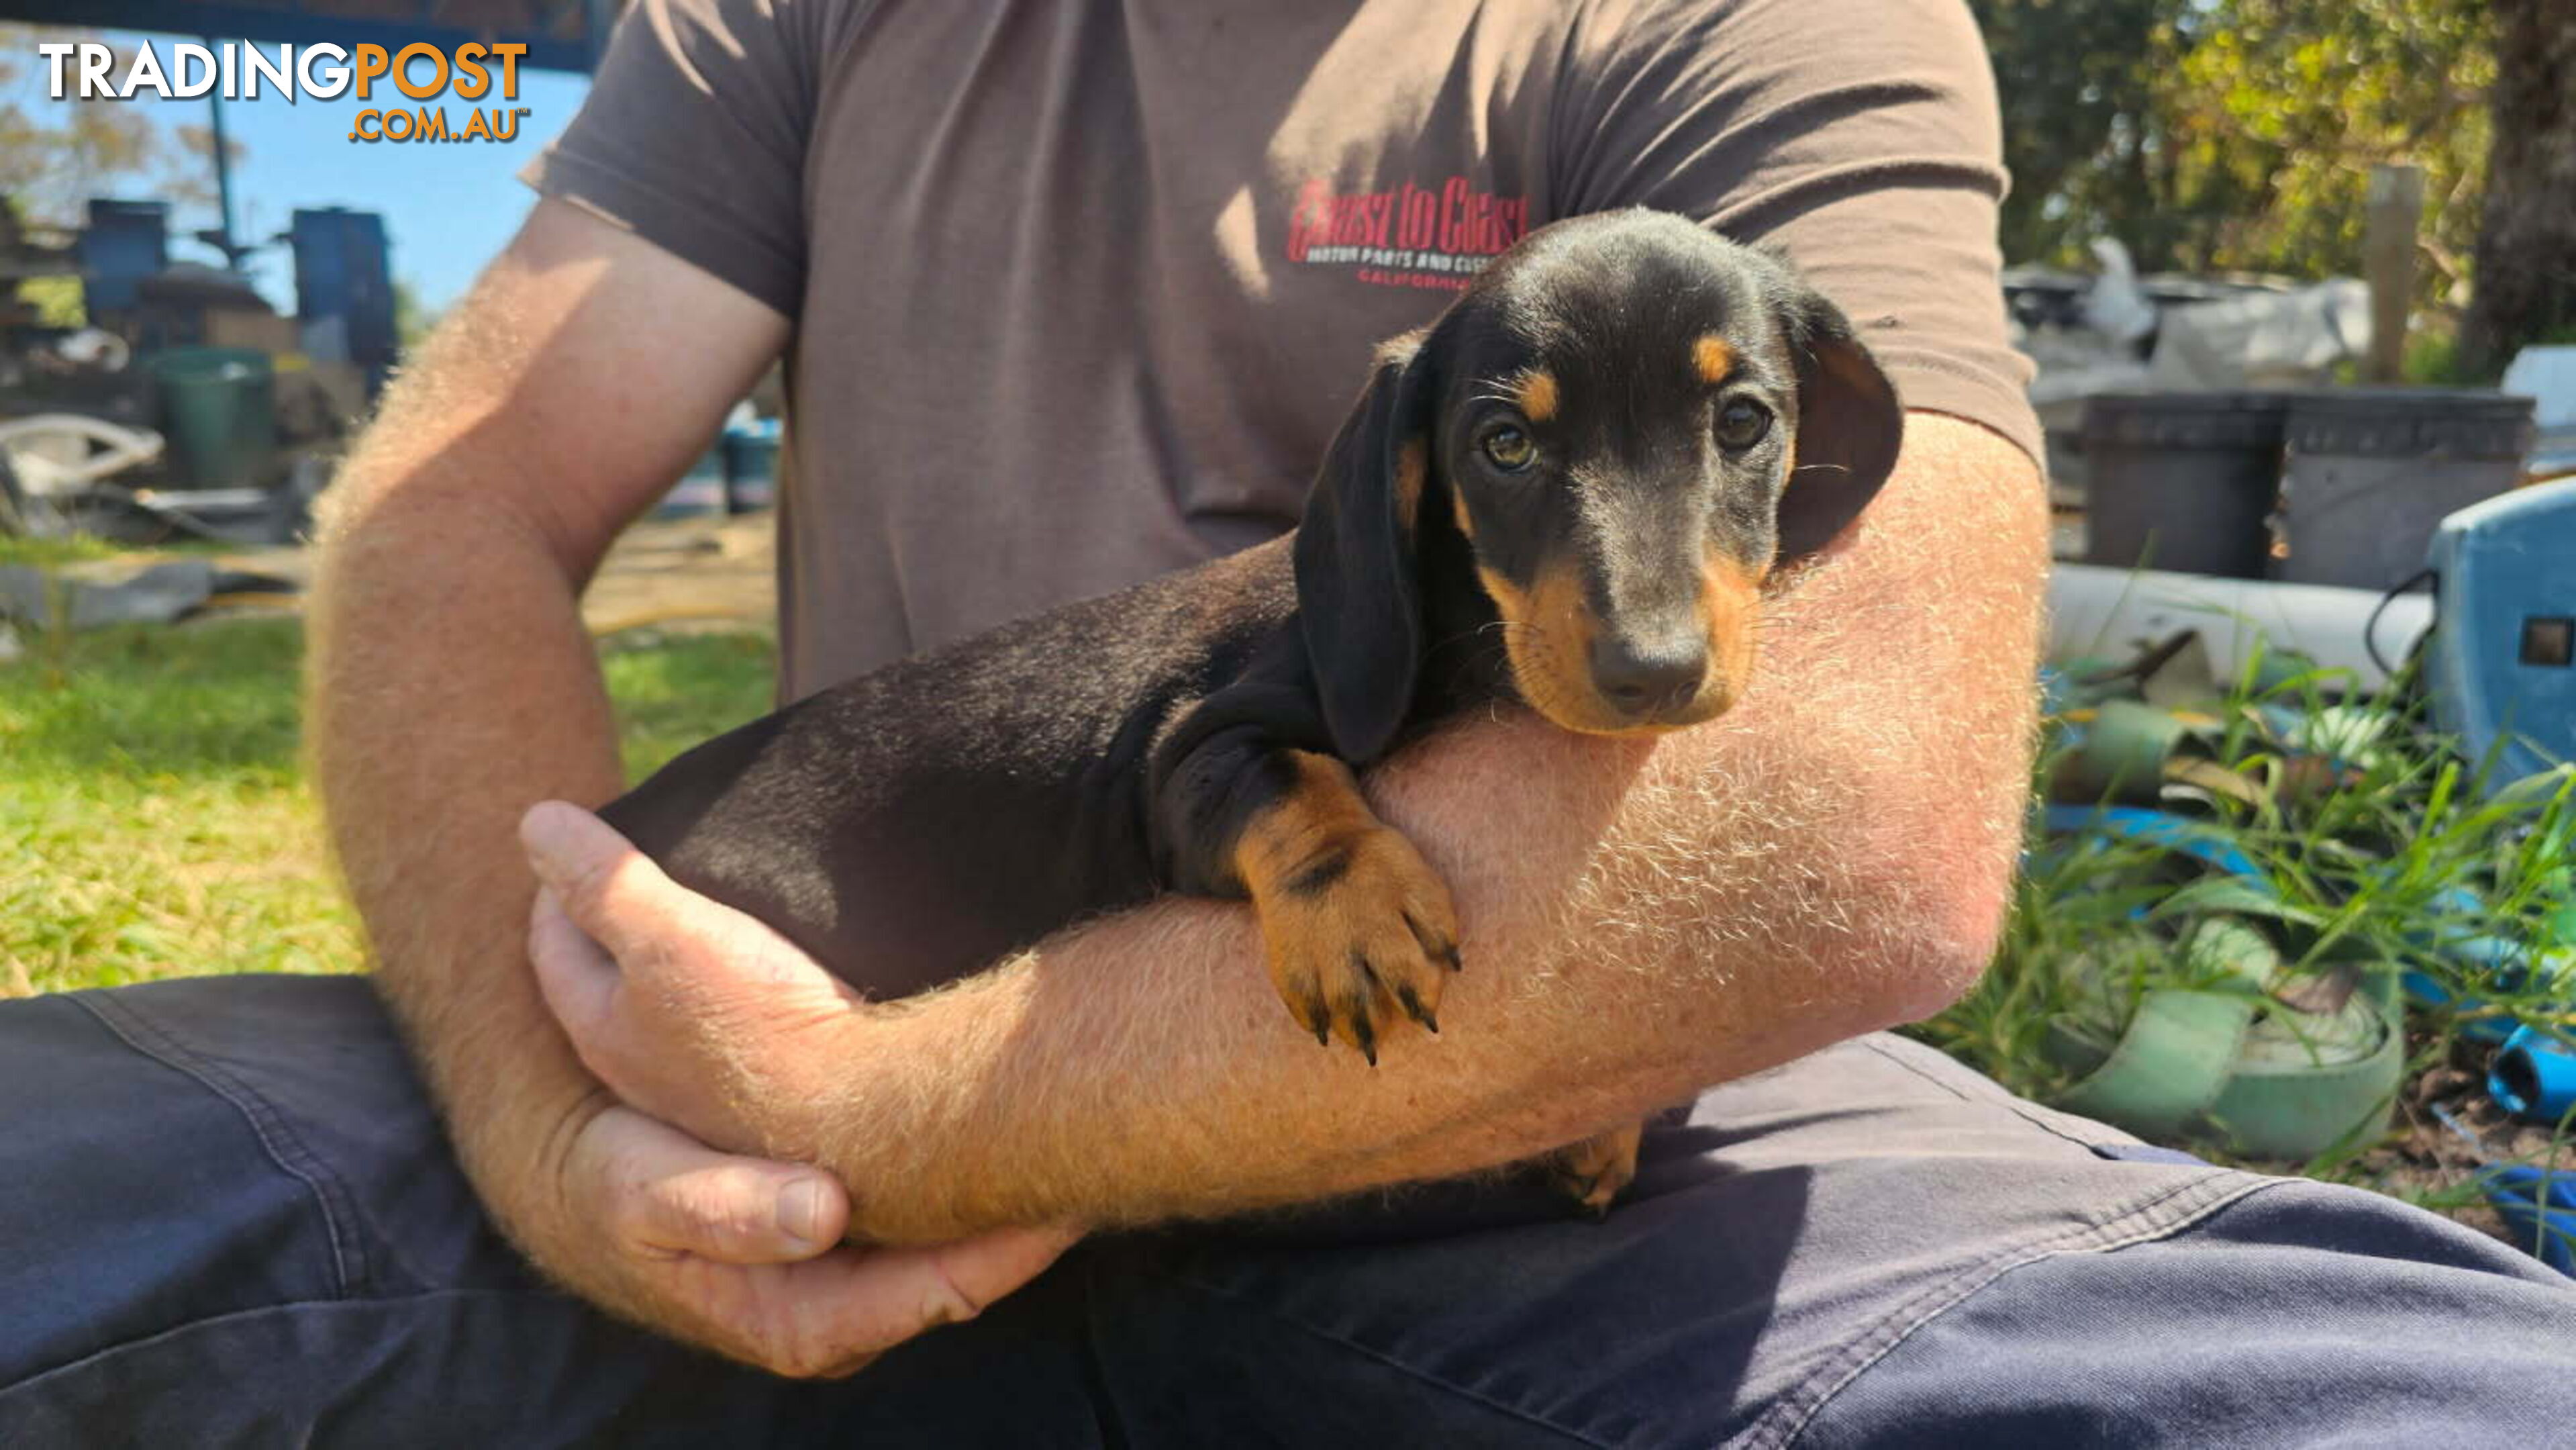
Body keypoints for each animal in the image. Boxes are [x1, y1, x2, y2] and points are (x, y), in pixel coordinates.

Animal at [597, 207, 1895, 1215]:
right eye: (1504, 444)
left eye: (1742, 421)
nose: (1652, 670)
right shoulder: (1186, 754)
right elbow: (1286, 777)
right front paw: (1355, 918)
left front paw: (1603, 1126)